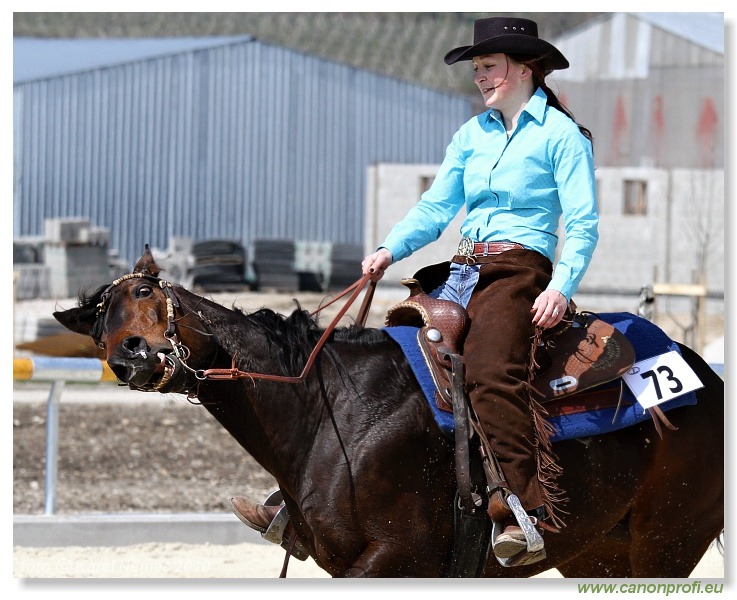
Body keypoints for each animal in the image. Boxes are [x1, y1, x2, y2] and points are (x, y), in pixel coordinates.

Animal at [54, 247, 720, 576]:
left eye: (145, 293)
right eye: (98, 326)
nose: (130, 356)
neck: (329, 411)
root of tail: (706, 376)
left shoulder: (395, 558)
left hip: (666, 543)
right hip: (602, 552)